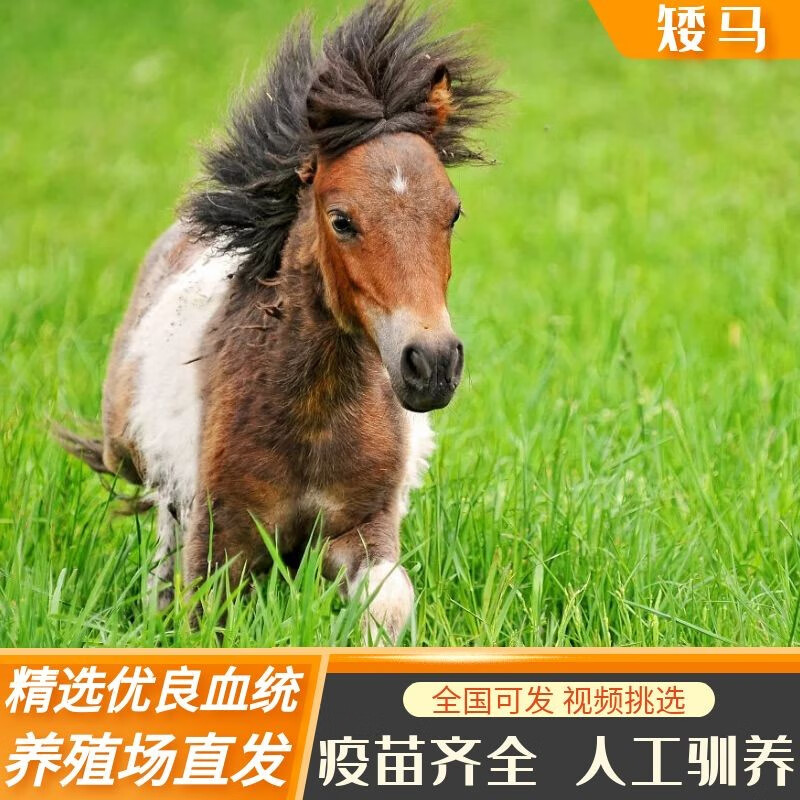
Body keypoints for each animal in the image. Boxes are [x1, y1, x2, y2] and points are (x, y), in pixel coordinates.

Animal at [57, 0, 501, 643]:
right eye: (342, 220)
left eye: (453, 213)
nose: (434, 364)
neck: (313, 415)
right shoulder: (222, 547)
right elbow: (203, 616)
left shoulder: (361, 529)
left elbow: (389, 602)